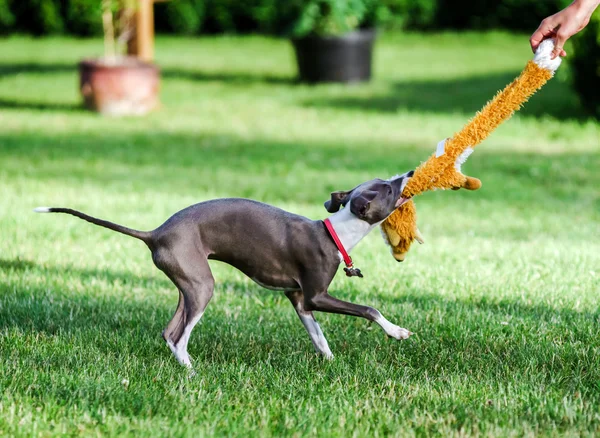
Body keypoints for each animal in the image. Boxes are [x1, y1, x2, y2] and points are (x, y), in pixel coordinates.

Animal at [35, 171, 414, 366]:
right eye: (387, 187)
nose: (409, 173)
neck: (335, 232)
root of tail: (156, 232)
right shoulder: (316, 295)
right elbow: (369, 308)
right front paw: (396, 332)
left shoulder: (298, 299)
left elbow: (318, 336)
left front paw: (331, 362)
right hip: (203, 287)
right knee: (179, 336)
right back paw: (192, 372)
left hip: (188, 283)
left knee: (169, 331)